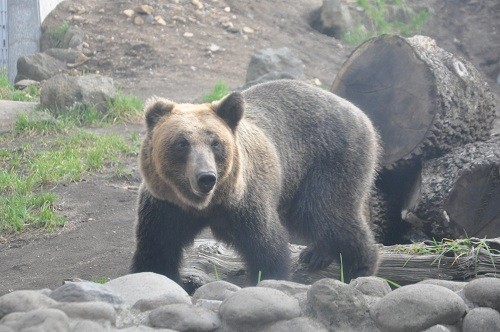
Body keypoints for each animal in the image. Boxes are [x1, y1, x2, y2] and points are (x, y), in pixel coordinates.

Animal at [131, 79, 380, 284]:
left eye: (215, 143)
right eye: (182, 143)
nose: (206, 178)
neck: (205, 205)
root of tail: (358, 112)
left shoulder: (245, 202)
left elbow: (266, 247)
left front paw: (268, 278)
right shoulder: (165, 205)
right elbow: (156, 250)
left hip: (329, 160)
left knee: (325, 212)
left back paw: (360, 267)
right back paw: (317, 254)